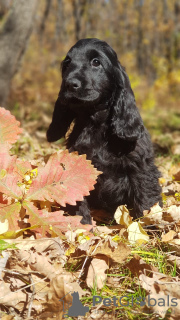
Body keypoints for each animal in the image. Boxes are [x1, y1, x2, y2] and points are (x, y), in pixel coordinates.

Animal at [46, 38, 162, 224]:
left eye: (96, 62)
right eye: (67, 63)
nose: (69, 84)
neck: (96, 124)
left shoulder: (141, 168)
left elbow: (146, 201)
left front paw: (148, 228)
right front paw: (82, 226)